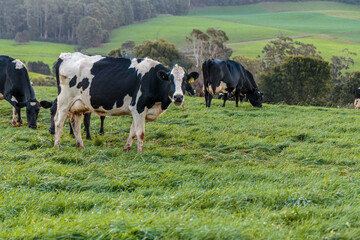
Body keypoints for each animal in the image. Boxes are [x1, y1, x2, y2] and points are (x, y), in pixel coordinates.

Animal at [53, 53, 200, 153]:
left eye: (185, 80)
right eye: (170, 79)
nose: (178, 97)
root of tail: (65, 56)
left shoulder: (136, 110)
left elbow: (133, 131)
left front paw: (127, 148)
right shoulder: (139, 107)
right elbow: (141, 132)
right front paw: (140, 152)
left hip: (78, 104)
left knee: (75, 124)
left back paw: (81, 146)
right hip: (64, 101)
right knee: (59, 122)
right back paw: (57, 145)